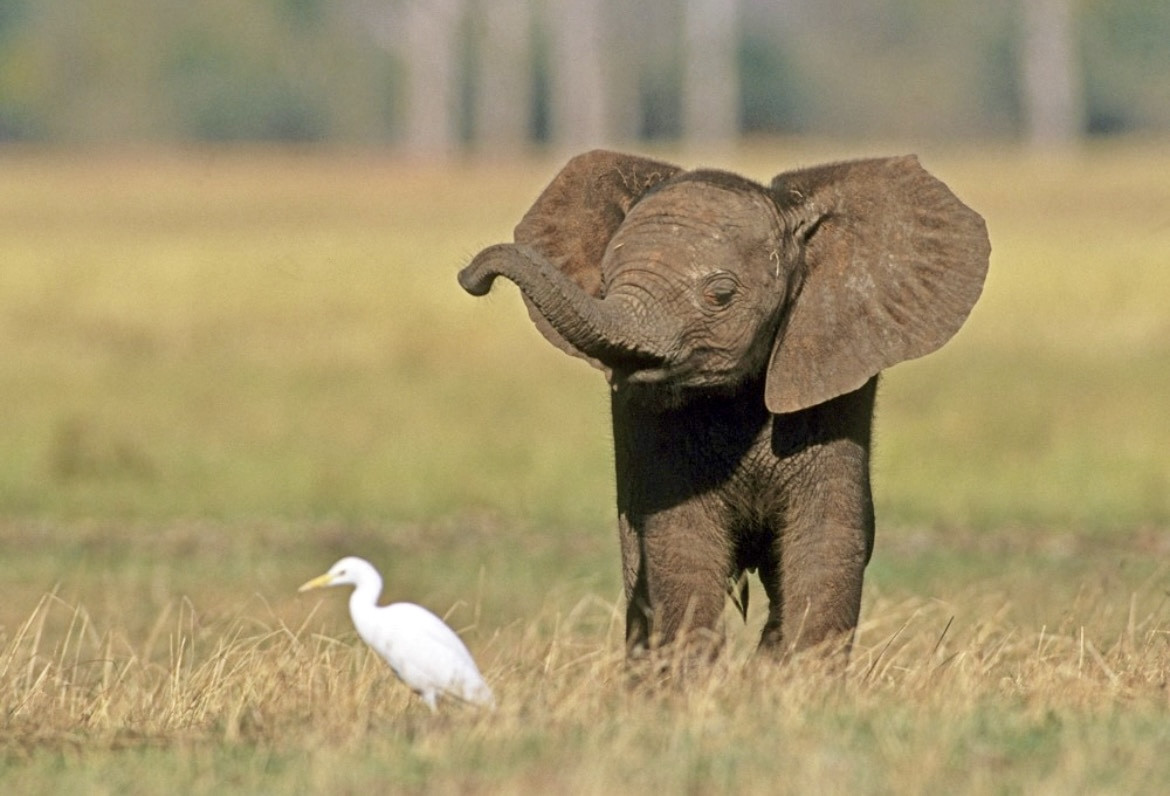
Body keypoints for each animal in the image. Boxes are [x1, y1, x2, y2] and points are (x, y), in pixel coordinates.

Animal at [458, 150, 990, 661]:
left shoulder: (833, 386)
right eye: (604, 283)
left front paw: (801, 686)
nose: (470, 277)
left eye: (721, 294)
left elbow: (825, 542)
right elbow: (682, 545)